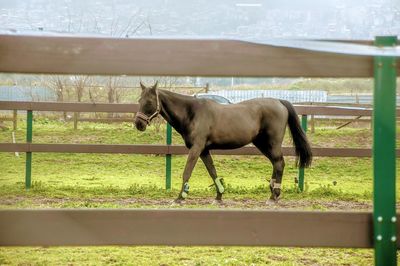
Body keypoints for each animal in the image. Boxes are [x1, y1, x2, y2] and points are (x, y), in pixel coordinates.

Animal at [134, 82, 312, 203]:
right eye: (139, 100)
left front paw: (180, 197)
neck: (192, 113)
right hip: (262, 145)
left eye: (149, 102)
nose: (138, 124)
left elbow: (187, 171)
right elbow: (212, 171)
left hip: (272, 144)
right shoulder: (204, 150)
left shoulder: (196, 148)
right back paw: (272, 193)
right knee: (276, 163)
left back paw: (274, 196)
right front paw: (219, 195)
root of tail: (279, 101)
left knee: (279, 163)